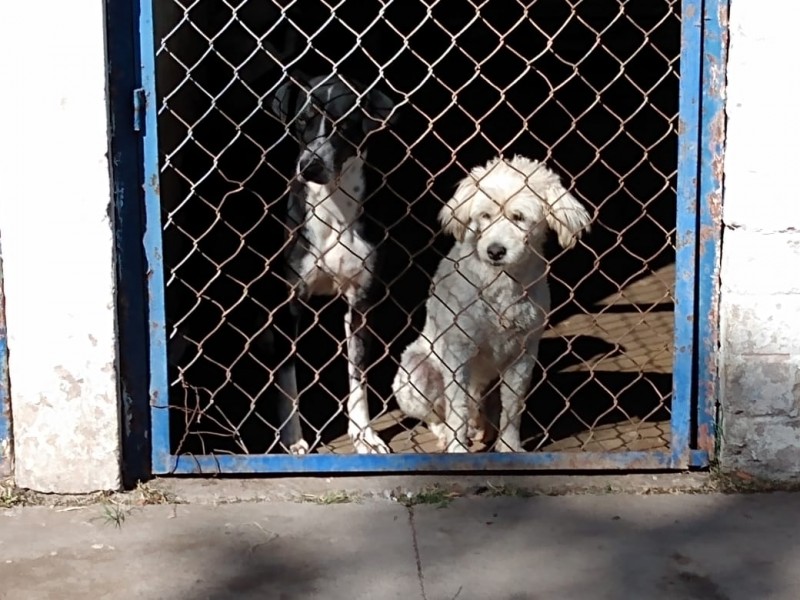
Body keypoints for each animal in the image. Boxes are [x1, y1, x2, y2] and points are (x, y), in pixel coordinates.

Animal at [268, 72, 396, 452]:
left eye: (344, 124)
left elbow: (358, 372)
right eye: (301, 121)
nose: (309, 166)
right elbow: (287, 377)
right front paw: (292, 438)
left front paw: (364, 432)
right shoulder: (290, 302)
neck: (333, 212)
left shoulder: (361, 301)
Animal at [390, 155, 592, 450]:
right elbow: (457, 410)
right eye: (485, 216)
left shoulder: (523, 355)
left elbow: (513, 408)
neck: (501, 284)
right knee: (437, 415)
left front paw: (509, 447)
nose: (495, 251)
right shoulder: (458, 353)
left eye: (519, 217)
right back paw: (448, 434)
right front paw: (457, 449)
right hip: (415, 372)